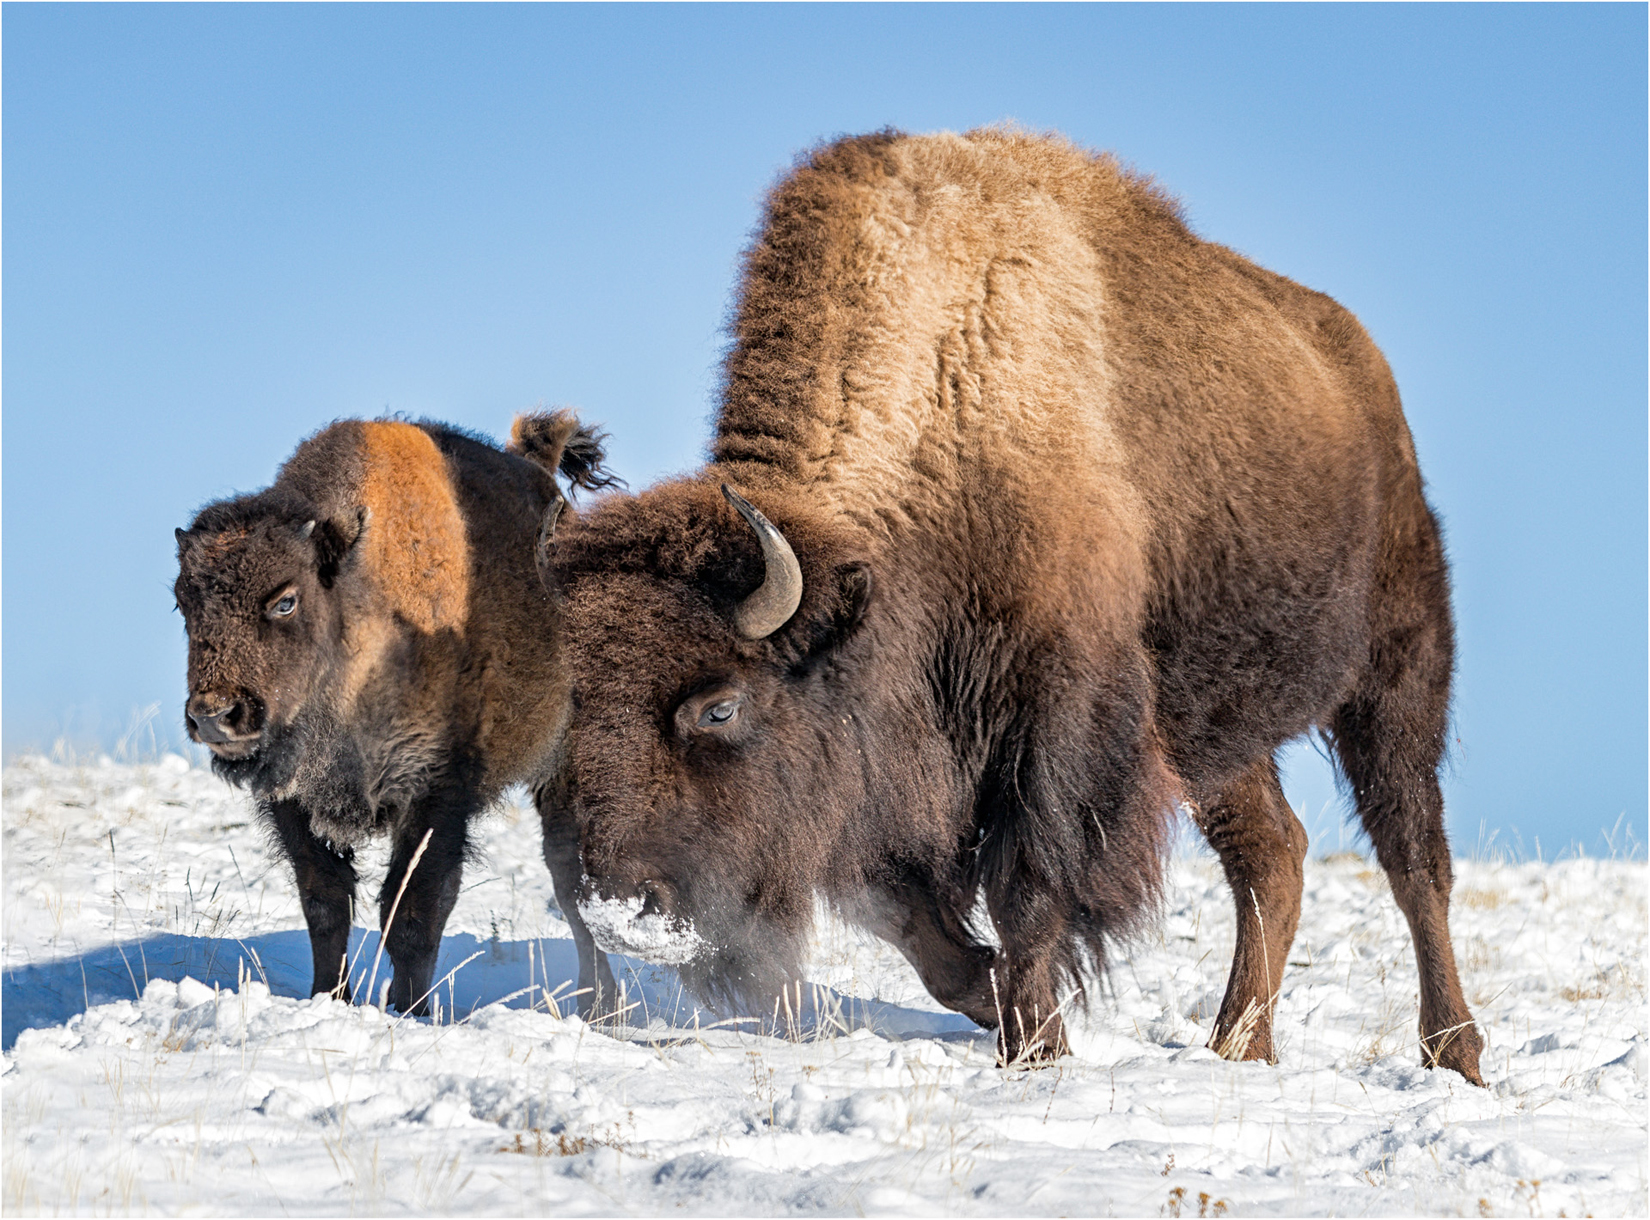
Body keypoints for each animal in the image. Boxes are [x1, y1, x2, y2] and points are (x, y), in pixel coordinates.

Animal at [174, 414, 620, 1017]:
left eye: (285, 600)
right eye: (182, 603)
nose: (215, 715)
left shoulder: (437, 791)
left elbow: (413, 909)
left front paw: (409, 1011)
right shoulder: (295, 802)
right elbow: (325, 904)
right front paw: (329, 999)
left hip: (564, 766)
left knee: (569, 875)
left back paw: (599, 1005)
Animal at [539, 128, 1485, 1084]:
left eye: (720, 707)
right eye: (570, 710)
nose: (616, 907)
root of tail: (1364, 376)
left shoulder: (1056, 724)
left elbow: (1025, 891)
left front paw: (1036, 1049)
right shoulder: (896, 775)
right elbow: (924, 928)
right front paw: (997, 1002)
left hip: (1396, 672)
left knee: (1413, 858)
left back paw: (1454, 1053)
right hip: (1208, 731)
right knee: (1273, 853)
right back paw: (1238, 1047)